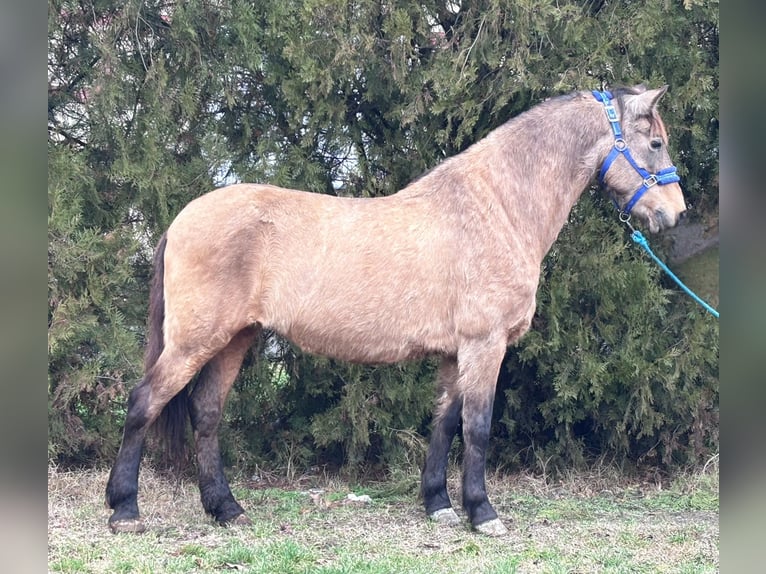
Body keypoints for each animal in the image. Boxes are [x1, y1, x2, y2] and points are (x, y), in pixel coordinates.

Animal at [106, 85, 686, 537]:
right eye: (655, 142)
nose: (674, 213)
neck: (497, 207)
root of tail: (182, 218)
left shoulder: (456, 353)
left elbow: (445, 424)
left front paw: (440, 506)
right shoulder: (485, 345)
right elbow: (478, 427)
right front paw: (483, 513)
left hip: (233, 340)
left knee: (206, 415)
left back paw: (226, 510)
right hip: (193, 340)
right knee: (143, 403)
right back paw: (125, 510)